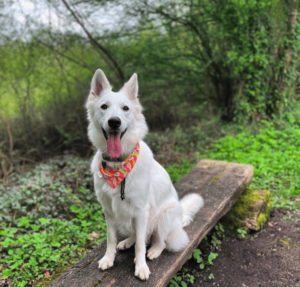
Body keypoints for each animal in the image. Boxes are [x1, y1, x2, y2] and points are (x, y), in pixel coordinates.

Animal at [86, 69, 204, 282]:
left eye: (125, 108)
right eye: (104, 106)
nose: (114, 122)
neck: (118, 165)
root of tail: (180, 218)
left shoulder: (141, 211)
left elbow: (141, 244)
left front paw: (141, 266)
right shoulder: (108, 211)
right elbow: (110, 238)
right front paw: (108, 258)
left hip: (164, 215)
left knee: (159, 241)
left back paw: (155, 250)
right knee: (138, 235)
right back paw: (127, 241)